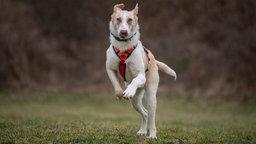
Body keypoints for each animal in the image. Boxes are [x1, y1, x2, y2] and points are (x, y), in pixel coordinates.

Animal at [105, 3, 176, 138]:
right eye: (118, 19)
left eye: (130, 20)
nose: (123, 32)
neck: (123, 47)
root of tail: (154, 60)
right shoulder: (109, 68)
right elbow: (116, 85)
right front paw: (120, 94)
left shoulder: (141, 76)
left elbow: (135, 80)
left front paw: (129, 90)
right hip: (135, 101)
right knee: (145, 113)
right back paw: (142, 131)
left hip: (151, 96)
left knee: (152, 117)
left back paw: (152, 135)